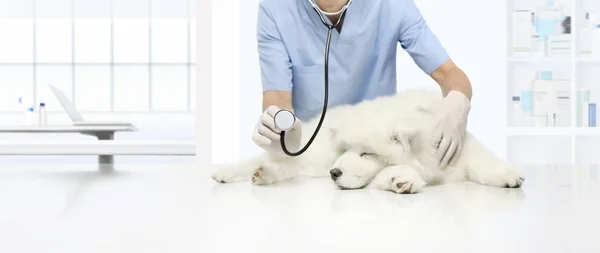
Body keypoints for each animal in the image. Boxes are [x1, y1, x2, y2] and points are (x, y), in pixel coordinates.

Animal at [212, 89, 524, 194]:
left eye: (365, 154)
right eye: (346, 150)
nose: (334, 172)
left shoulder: (459, 148)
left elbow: (484, 161)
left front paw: (511, 176)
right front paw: (403, 179)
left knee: (284, 166)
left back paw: (260, 174)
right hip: (313, 155)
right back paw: (229, 171)